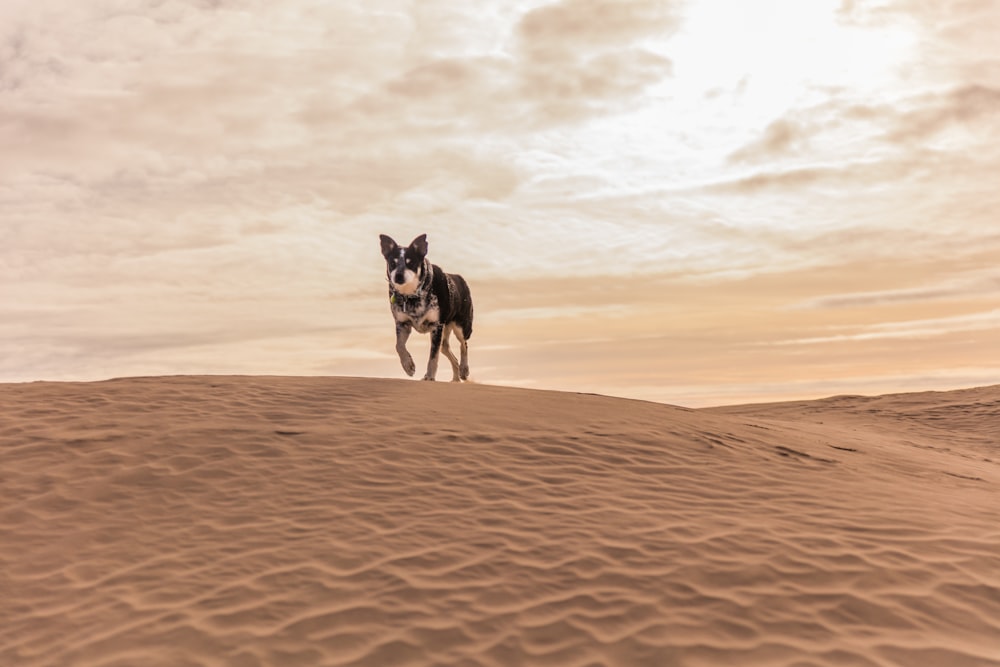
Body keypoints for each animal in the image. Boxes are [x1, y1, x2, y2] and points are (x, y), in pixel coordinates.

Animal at [382, 234, 476, 380]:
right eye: (393, 263)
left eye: (411, 263)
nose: (398, 276)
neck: (412, 296)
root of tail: (459, 278)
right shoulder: (402, 324)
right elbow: (399, 346)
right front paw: (408, 366)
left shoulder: (436, 326)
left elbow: (433, 357)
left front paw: (431, 377)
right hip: (445, 332)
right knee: (448, 351)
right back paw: (455, 379)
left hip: (461, 325)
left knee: (463, 344)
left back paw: (464, 369)